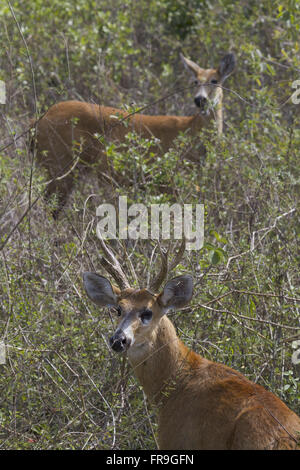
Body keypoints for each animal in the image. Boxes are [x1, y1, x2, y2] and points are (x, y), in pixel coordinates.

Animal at [31, 52, 236, 214]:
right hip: (60, 163)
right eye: (195, 82)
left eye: (215, 81)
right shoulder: (170, 181)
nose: (200, 100)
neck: (191, 133)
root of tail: (38, 122)